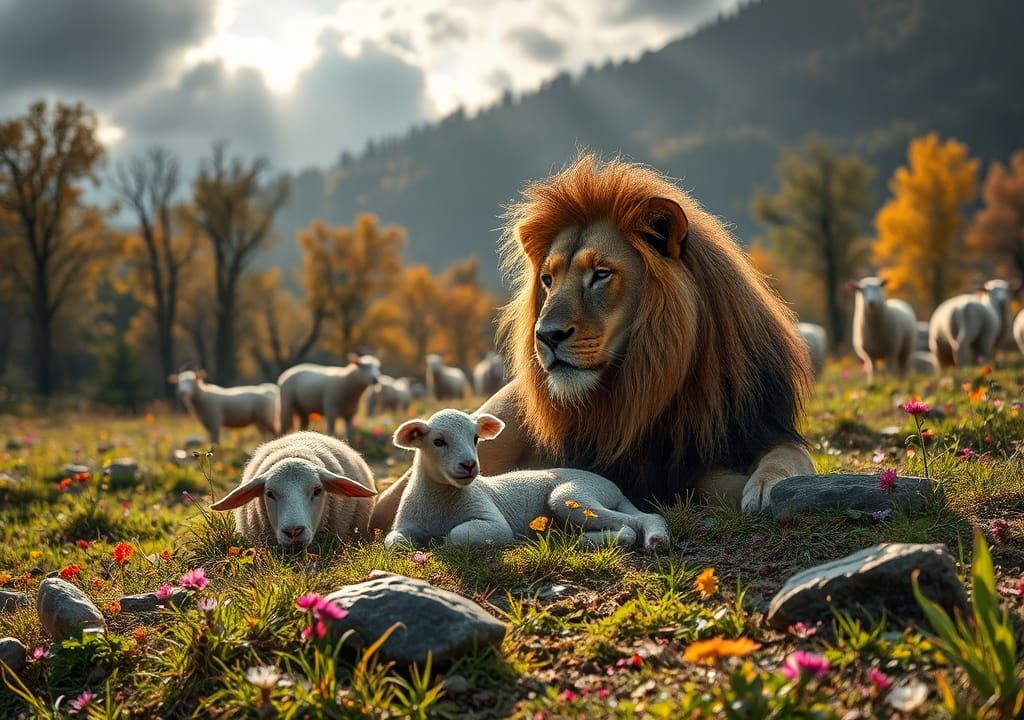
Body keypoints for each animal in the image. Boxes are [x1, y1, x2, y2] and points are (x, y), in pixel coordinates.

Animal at [370, 153, 814, 531]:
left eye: (600, 274)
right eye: (548, 280)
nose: (546, 336)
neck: (648, 382)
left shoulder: (758, 428)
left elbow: (791, 456)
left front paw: (765, 487)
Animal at [384, 409, 670, 552]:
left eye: (475, 439)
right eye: (438, 442)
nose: (469, 465)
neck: (439, 501)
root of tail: (614, 488)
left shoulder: (492, 522)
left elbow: (456, 536)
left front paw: (438, 542)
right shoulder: (403, 526)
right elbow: (394, 543)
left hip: (573, 496)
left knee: (637, 524)